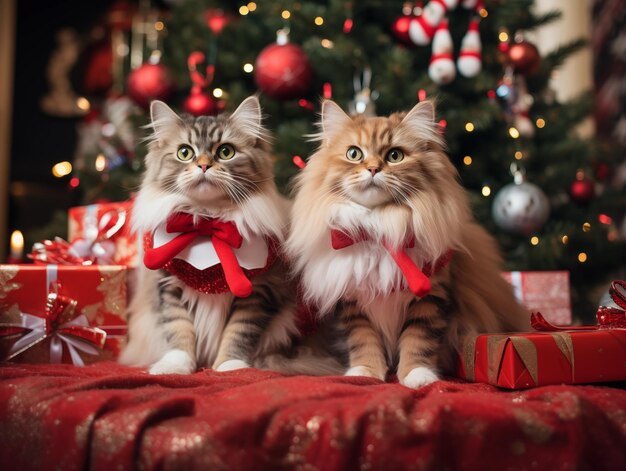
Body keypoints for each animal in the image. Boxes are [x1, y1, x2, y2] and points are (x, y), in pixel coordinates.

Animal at [122, 97, 300, 376]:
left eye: (226, 151)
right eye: (185, 152)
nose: (204, 165)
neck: (207, 221)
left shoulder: (259, 291)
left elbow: (238, 333)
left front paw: (231, 367)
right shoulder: (168, 287)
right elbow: (178, 331)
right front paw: (175, 367)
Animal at [286, 98, 528, 388]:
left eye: (395, 156)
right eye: (354, 154)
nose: (373, 169)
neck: (378, 227)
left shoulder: (430, 297)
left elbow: (418, 341)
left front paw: (418, 376)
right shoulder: (352, 303)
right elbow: (363, 342)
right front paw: (365, 373)